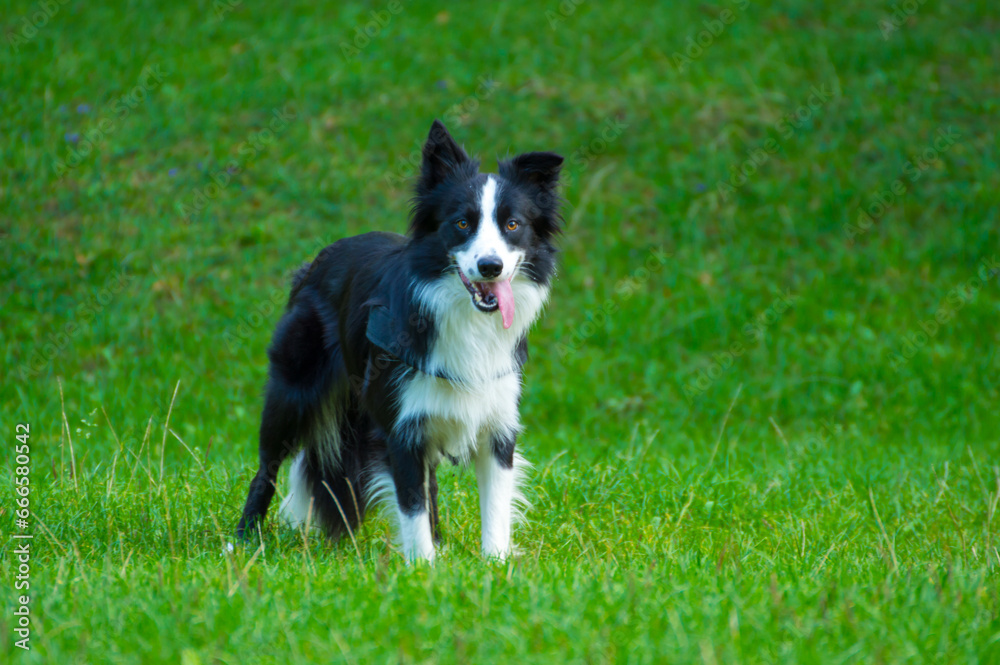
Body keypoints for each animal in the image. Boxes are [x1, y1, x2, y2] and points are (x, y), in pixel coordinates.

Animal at [236, 119, 564, 560]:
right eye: (462, 223)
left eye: (513, 225)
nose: (490, 266)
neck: (464, 316)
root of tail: (317, 262)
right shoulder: (401, 428)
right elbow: (410, 504)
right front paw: (423, 566)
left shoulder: (496, 423)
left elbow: (492, 507)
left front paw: (493, 563)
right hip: (292, 390)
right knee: (267, 466)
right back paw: (242, 538)